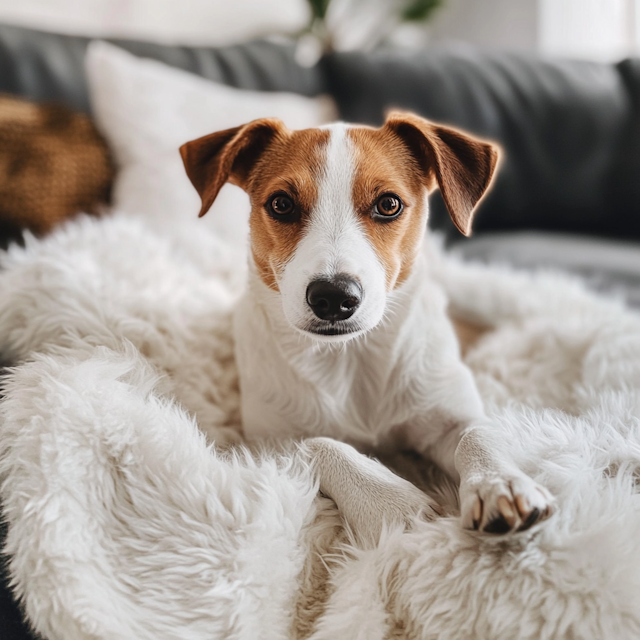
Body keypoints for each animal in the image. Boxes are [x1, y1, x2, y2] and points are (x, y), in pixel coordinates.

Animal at [180, 112, 556, 544]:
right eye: (281, 203)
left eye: (388, 204)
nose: (332, 296)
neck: (351, 358)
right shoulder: (264, 443)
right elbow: (321, 444)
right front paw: (392, 504)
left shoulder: (450, 414)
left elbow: (476, 435)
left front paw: (500, 484)